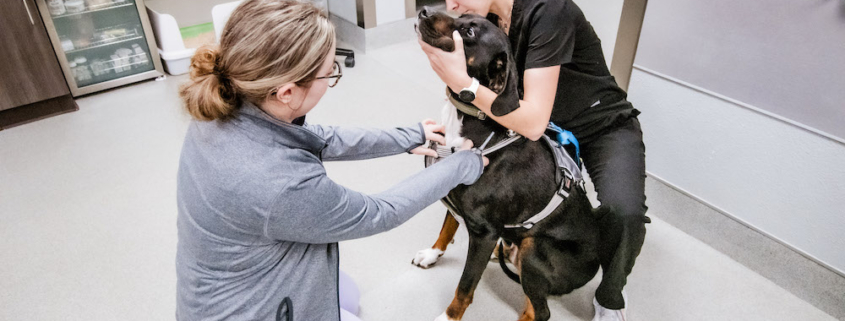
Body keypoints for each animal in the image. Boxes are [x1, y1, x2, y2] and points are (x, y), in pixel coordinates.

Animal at [412, 7, 608, 320]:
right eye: (462, 15)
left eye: (469, 33)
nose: (423, 10)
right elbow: (447, 227)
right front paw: (433, 253)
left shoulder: (484, 233)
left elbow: (465, 285)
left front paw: (448, 316)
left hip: (533, 249)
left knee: (540, 311)